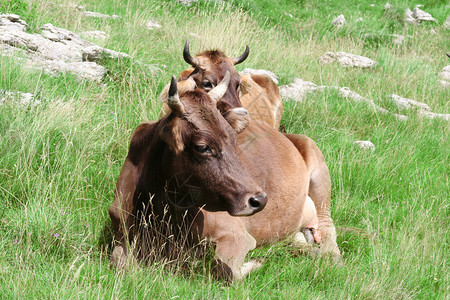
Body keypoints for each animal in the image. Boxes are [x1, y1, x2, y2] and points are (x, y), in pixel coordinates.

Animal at [109, 72, 342, 282]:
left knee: (327, 228)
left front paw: (256, 262)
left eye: (233, 139)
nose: (259, 200)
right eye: (203, 147)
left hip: (319, 176)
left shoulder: (236, 235)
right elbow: (119, 263)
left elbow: (226, 270)